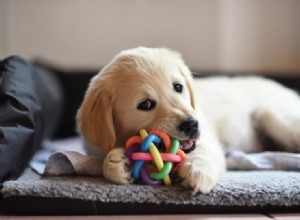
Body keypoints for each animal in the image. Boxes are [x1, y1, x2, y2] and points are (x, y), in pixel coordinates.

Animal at [75, 47, 300, 193]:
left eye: (178, 87)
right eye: (145, 104)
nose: (192, 125)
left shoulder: (207, 139)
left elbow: (202, 152)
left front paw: (197, 171)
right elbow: (104, 161)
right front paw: (117, 163)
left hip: (272, 117)